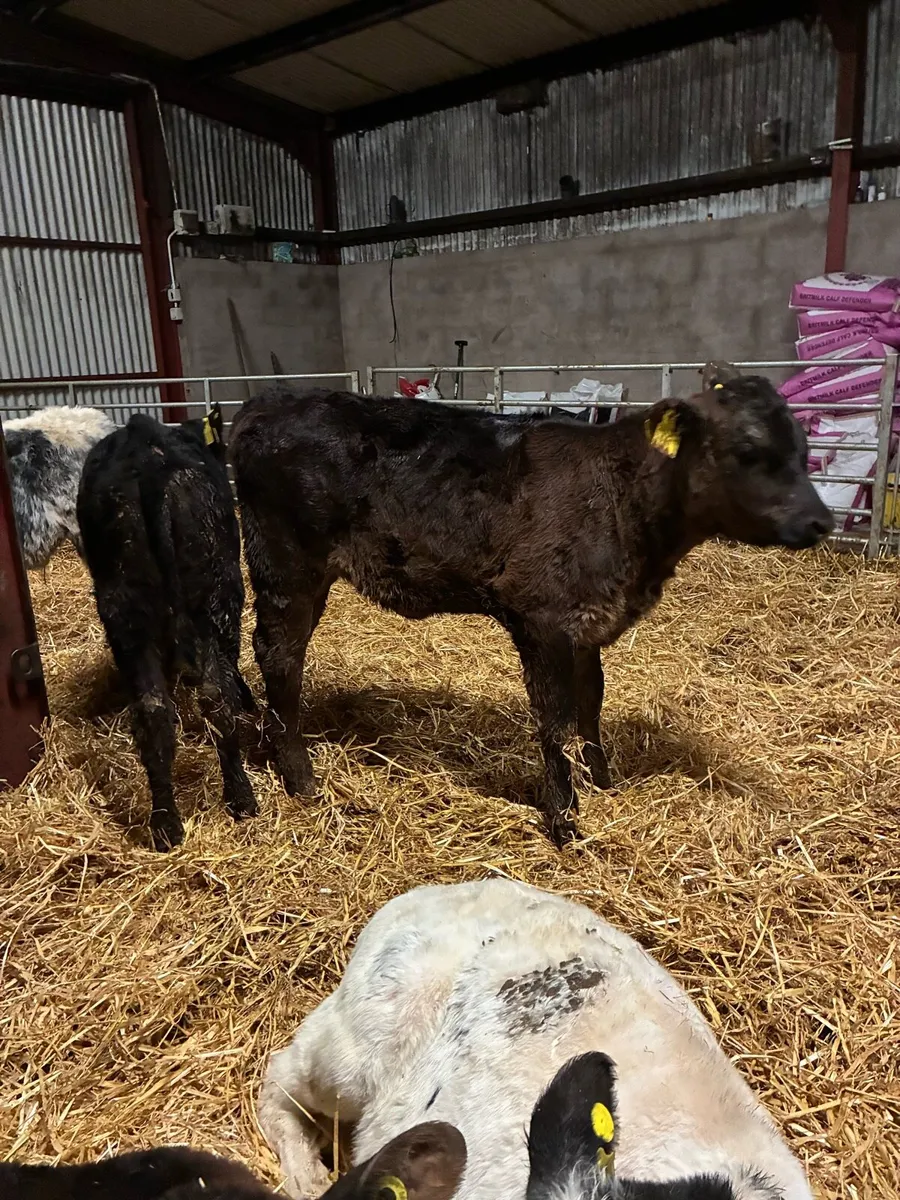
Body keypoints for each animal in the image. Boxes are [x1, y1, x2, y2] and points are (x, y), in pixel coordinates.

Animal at [76, 407, 257, 851]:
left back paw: (166, 824)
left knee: (154, 709)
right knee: (217, 695)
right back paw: (241, 796)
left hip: (124, 607)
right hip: (220, 591)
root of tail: (147, 459)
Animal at [229, 370, 833, 846]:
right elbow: (555, 718)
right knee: (281, 655)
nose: (821, 521)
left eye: (803, 451)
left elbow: (590, 703)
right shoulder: (540, 619)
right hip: (287, 565)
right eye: (748, 452)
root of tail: (271, 401)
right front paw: (565, 819)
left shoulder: (587, 622)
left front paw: (604, 782)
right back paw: (301, 779)